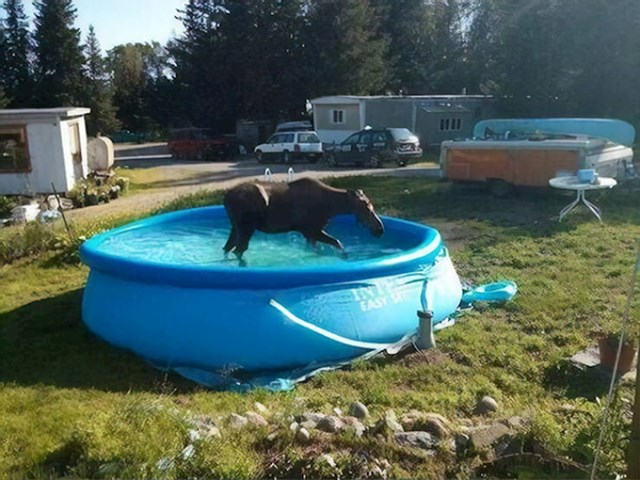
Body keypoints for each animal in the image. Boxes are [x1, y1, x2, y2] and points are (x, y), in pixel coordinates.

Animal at [224, 177, 384, 260]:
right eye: (366, 207)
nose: (380, 229)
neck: (332, 207)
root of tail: (226, 198)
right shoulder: (311, 231)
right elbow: (338, 243)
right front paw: (344, 256)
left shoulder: (310, 234)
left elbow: (318, 249)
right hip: (246, 227)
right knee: (239, 249)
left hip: (235, 227)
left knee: (228, 247)